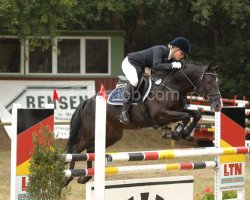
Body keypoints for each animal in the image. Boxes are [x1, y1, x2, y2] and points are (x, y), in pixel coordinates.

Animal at [64, 60, 223, 185]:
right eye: (209, 82)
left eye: (218, 82)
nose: (218, 105)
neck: (173, 86)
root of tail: (88, 100)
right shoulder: (160, 115)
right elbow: (185, 117)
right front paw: (176, 133)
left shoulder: (177, 110)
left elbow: (195, 114)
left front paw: (179, 133)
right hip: (90, 132)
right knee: (76, 150)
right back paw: (68, 178)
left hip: (112, 135)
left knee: (91, 149)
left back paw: (84, 177)